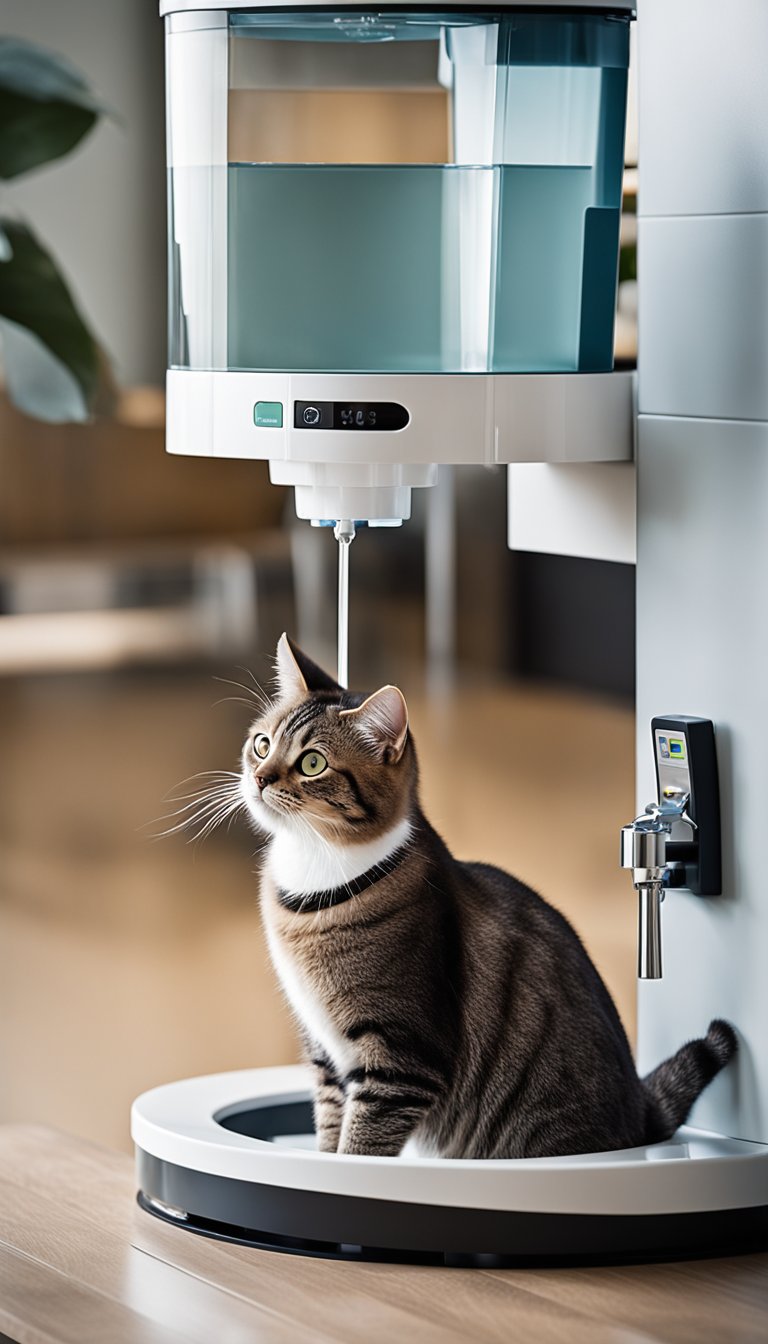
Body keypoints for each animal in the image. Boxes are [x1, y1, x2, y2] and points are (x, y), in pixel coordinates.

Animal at [239, 634, 731, 1161]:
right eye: (262, 744)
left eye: (312, 762)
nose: (259, 778)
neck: (312, 875)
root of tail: (642, 1116)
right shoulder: (325, 1053)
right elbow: (330, 1131)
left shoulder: (402, 1061)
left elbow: (358, 1148)